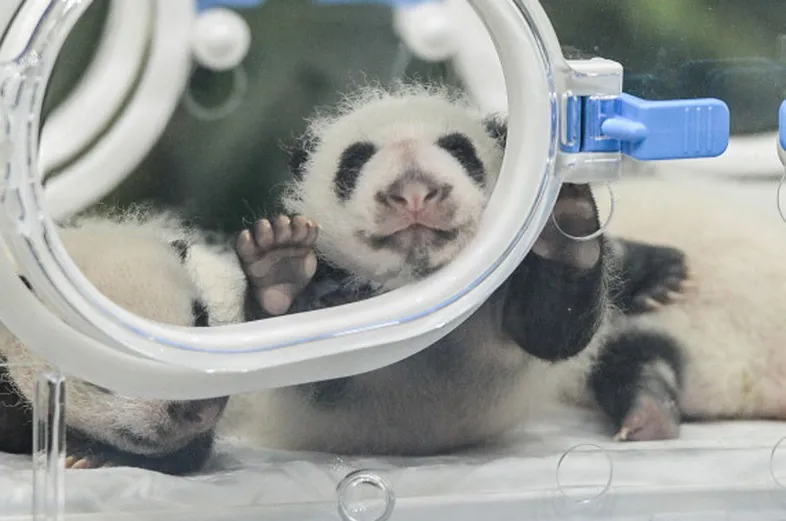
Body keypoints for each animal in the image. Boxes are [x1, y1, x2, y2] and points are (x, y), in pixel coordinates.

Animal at [216, 83, 691, 455]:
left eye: (460, 151)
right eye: (353, 162)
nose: (413, 193)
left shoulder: (503, 290)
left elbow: (551, 329)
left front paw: (566, 223)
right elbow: (308, 368)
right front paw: (281, 266)